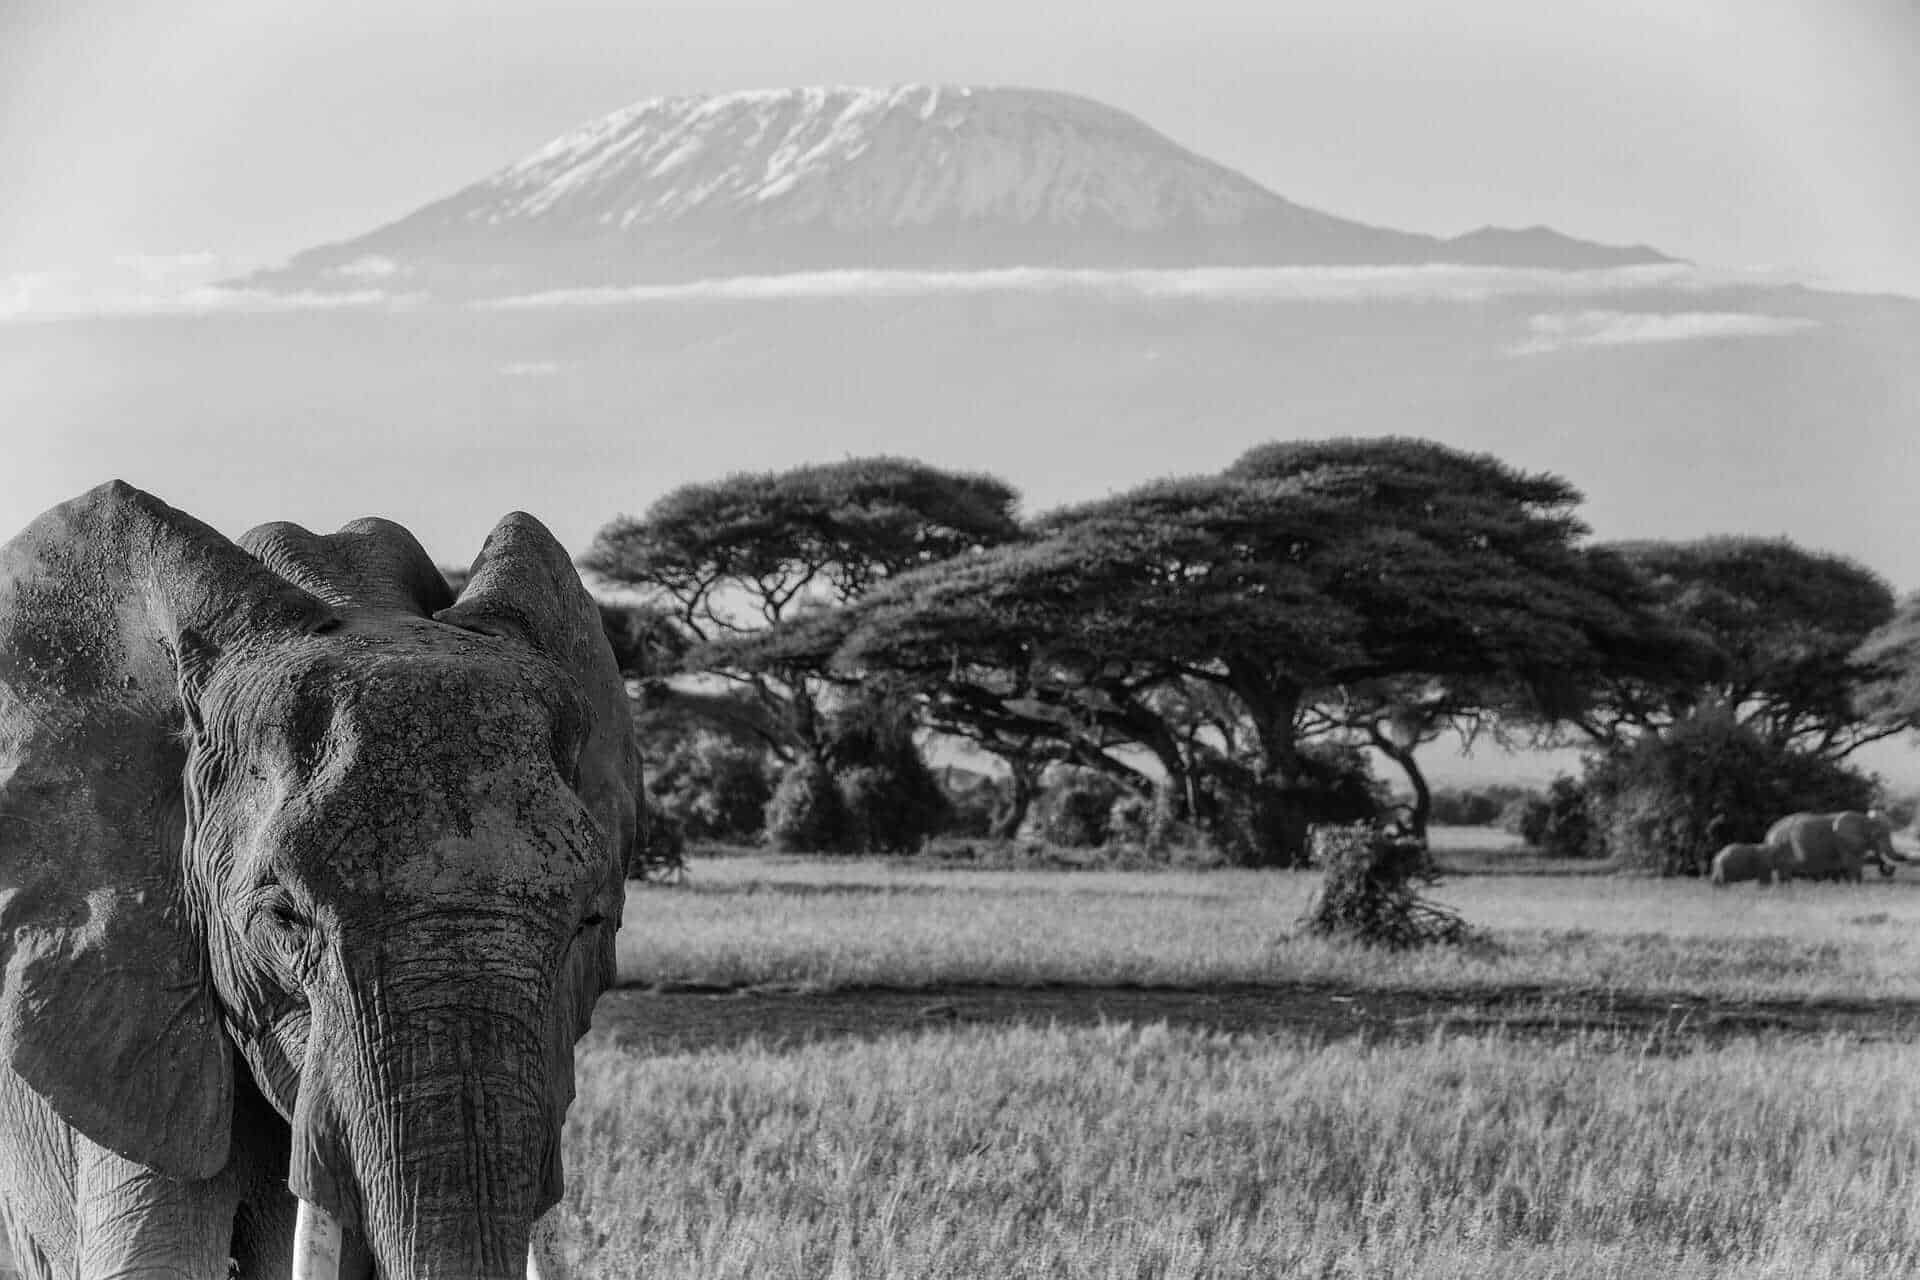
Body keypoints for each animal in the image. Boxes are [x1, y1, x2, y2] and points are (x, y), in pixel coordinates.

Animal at [1758, 809, 1896, 882]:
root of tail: (1769, 833)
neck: (1864, 820)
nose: (1890, 868)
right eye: (1878, 835)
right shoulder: (1844, 843)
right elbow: (1852, 865)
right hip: (1782, 846)